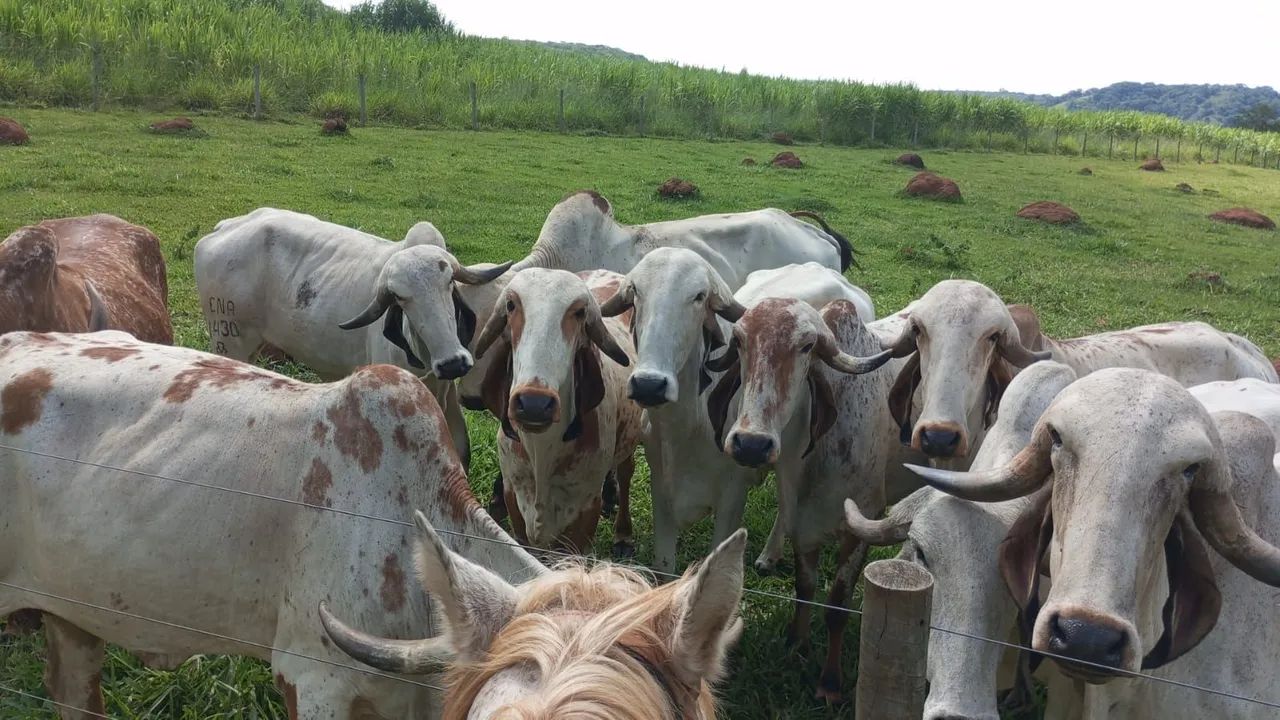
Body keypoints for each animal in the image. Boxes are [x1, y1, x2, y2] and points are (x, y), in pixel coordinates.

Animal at [472, 268, 644, 556]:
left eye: (579, 312)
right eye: (511, 305)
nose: (534, 403)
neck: (542, 450)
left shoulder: (586, 510)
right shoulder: (513, 497)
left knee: (626, 471)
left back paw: (623, 533)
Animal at [598, 251, 875, 572]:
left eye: (699, 296)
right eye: (635, 293)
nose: (649, 385)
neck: (687, 426)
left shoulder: (732, 498)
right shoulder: (662, 492)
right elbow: (665, 567)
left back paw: (770, 555)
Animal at [704, 297, 897, 700]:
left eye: (807, 347)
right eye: (740, 341)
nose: (751, 444)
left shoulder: (862, 525)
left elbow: (837, 606)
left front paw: (830, 682)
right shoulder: (803, 527)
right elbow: (804, 587)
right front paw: (797, 644)